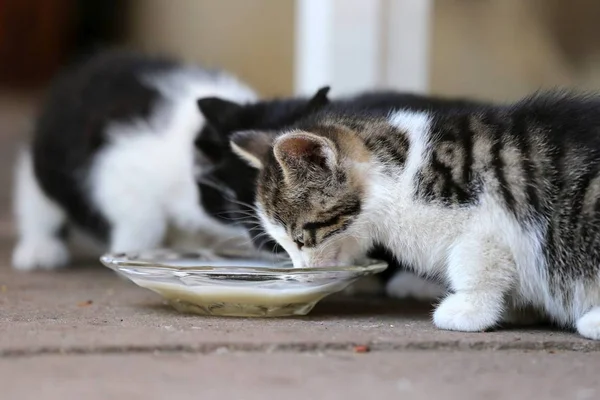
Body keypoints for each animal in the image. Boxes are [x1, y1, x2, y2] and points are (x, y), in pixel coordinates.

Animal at [11, 49, 255, 268]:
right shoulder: (116, 164)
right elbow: (146, 219)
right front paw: (134, 253)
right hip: (50, 156)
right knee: (39, 197)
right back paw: (39, 249)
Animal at [229, 92, 600, 340]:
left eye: (302, 238)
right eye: (283, 244)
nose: (302, 275)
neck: (401, 176)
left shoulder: (488, 219)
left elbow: (474, 262)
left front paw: (468, 309)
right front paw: (518, 308)